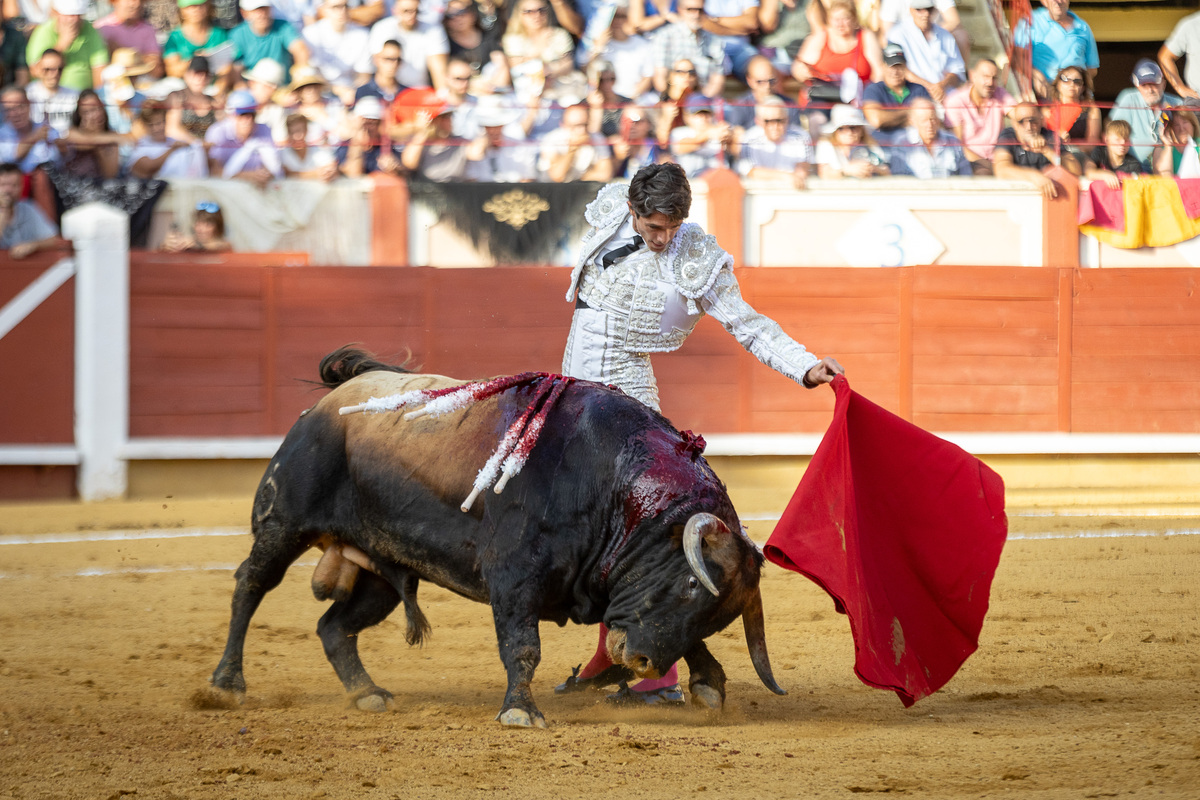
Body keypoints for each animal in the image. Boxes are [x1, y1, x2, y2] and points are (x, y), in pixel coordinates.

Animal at [210, 347, 782, 729]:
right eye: (689, 586)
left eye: (716, 614)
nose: (640, 662)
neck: (615, 488)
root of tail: (338, 397)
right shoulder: (514, 577)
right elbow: (522, 646)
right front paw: (520, 712)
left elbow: (686, 642)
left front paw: (709, 682)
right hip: (284, 521)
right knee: (250, 587)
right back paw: (225, 685)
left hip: (379, 565)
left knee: (334, 627)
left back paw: (368, 694)